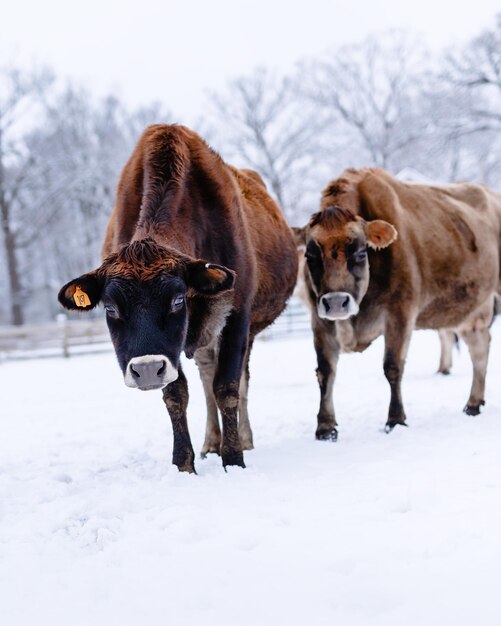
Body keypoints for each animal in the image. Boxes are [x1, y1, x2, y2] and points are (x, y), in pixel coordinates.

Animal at [58, 124, 296, 470]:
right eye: (111, 308)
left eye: (177, 300)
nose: (145, 369)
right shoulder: (172, 350)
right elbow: (177, 394)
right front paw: (184, 463)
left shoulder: (237, 314)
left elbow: (228, 387)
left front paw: (234, 459)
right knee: (207, 376)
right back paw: (211, 442)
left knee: (238, 380)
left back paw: (243, 439)